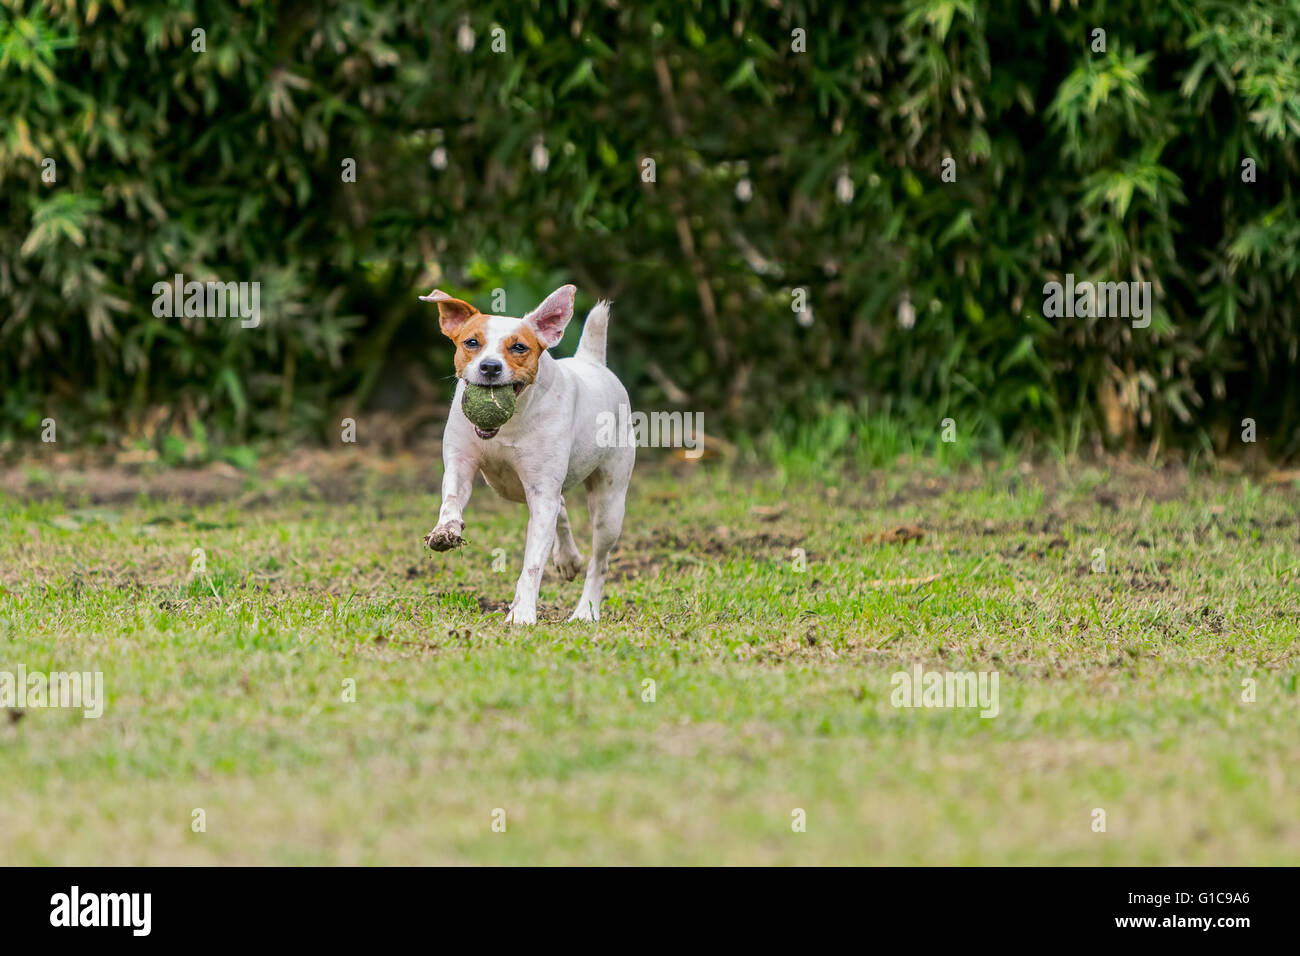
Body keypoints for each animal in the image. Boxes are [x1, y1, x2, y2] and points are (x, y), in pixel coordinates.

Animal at [421, 282, 634, 629]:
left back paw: (585, 610)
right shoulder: (460, 463)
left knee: (599, 561)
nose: (490, 367)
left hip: (609, 506)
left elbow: (533, 563)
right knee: (562, 507)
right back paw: (567, 558)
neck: (508, 426)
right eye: (471, 342)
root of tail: (593, 363)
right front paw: (445, 531)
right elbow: (451, 498)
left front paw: (522, 614)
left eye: (519, 347)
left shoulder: (541, 493)